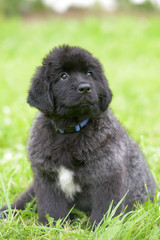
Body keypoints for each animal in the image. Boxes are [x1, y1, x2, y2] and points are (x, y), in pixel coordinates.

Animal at [0, 45, 155, 225]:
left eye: (90, 73)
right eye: (63, 76)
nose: (85, 88)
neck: (70, 130)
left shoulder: (107, 175)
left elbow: (104, 211)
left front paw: (100, 228)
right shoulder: (46, 178)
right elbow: (51, 209)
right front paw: (53, 227)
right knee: (24, 200)